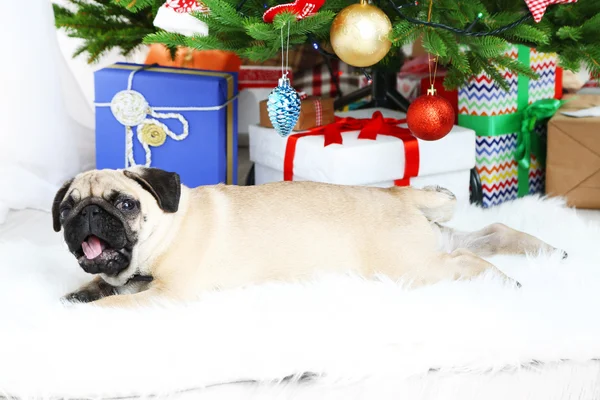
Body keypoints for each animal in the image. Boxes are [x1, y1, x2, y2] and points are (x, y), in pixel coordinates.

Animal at [54, 167, 564, 308]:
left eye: (124, 205)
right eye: (67, 208)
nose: (89, 215)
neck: (168, 226)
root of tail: (400, 197)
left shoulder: (169, 295)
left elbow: (115, 306)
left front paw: (87, 310)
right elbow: (98, 286)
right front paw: (77, 295)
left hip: (412, 268)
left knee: (468, 264)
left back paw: (504, 282)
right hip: (435, 245)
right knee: (494, 231)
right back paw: (548, 250)